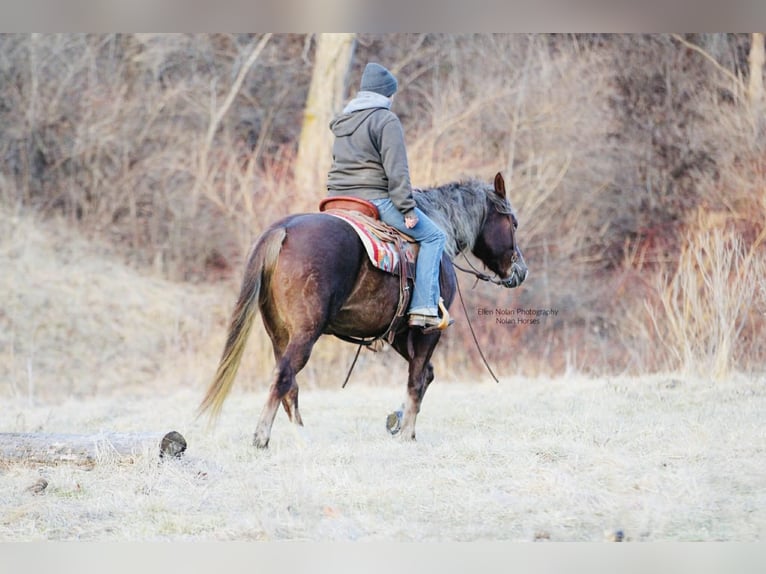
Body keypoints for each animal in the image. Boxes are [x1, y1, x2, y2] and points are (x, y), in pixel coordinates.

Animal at [198, 172, 527, 447]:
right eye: (512, 222)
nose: (520, 270)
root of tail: (283, 229)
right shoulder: (427, 332)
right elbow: (417, 378)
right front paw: (407, 433)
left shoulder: (399, 334)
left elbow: (425, 375)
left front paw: (397, 421)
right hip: (305, 334)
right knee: (284, 376)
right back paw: (261, 437)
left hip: (279, 335)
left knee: (289, 384)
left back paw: (301, 438)